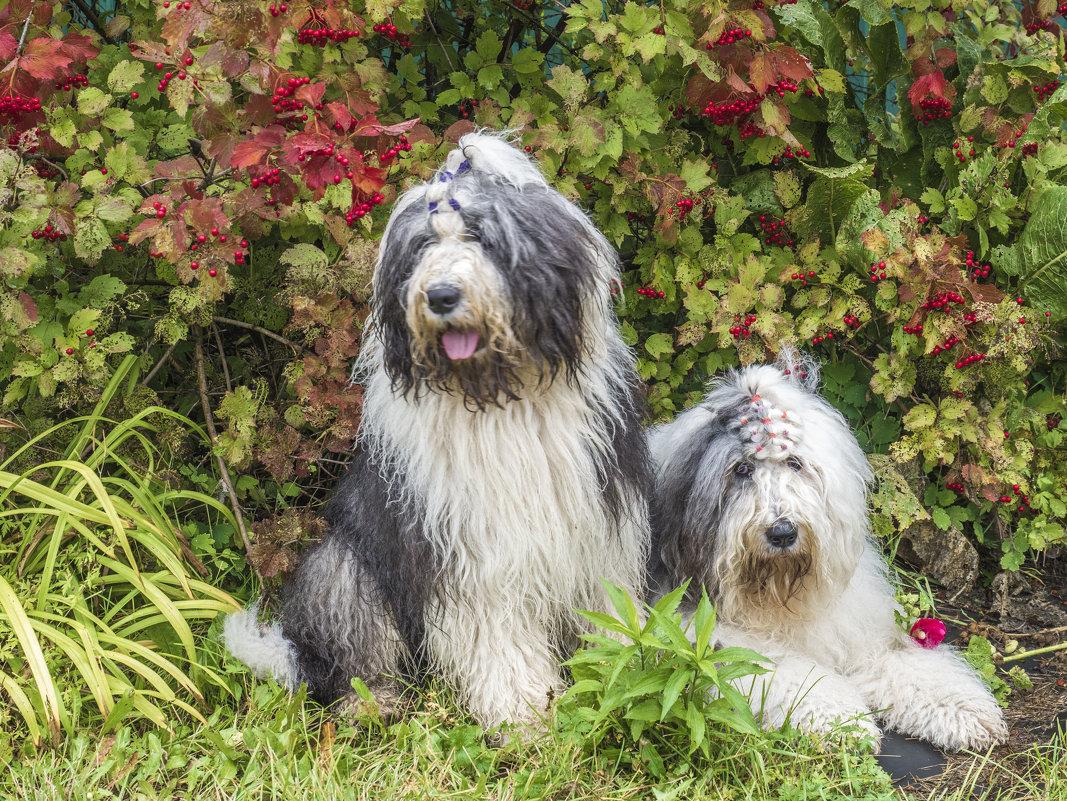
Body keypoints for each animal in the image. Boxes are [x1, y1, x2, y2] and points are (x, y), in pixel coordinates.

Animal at [225, 133, 648, 733]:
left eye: (482, 236)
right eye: (424, 245)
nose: (442, 296)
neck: (500, 397)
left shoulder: (600, 528)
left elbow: (608, 612)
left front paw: (622, 673)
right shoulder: (468, 548)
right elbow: (498, 636)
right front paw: (522, 715)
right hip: (343, 567)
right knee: (349, 655)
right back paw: (371, 701)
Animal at [644, 354, 1002, 755]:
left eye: (795, 463)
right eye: (742, 469)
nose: (783, 532)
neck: (777, 595)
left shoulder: (859, 632)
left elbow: (900, 662)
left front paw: (962, 708)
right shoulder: (712, 642)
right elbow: (790, 675)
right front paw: (846, 720)